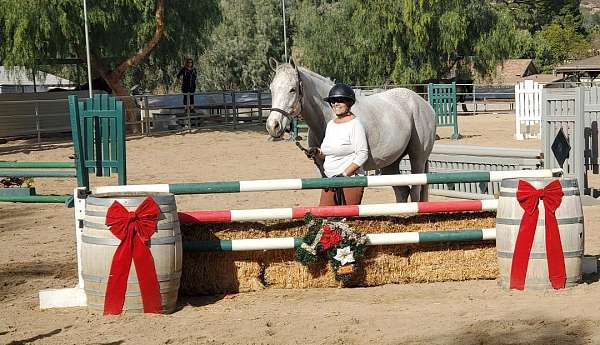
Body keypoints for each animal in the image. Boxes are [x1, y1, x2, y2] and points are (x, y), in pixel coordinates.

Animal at [268, 60, 436, 202]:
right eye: (271, 88)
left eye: (292, 89)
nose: (273, 125)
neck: (330, 118)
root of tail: (424, 103)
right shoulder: (324, 171)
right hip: (390, 162)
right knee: (402, 191)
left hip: (417, 159)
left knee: (415, 192)